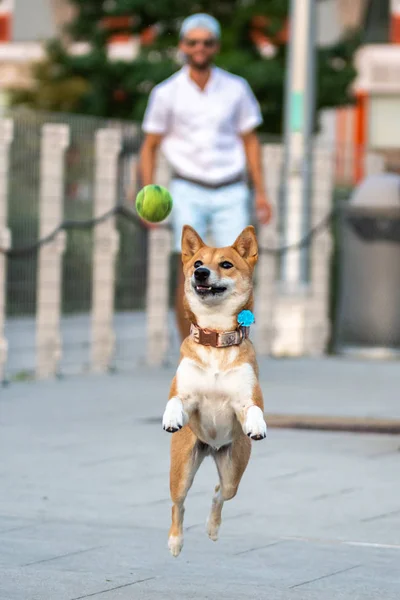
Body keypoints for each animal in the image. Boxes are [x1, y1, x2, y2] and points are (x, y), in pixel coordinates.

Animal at [161, 225, 268, 556]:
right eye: (197, 263)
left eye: (226, 264)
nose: (201, 273)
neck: (215, 338)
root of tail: (211, 447)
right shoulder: (185, 394)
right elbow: (175, 400)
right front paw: (171, 418)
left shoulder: (246, 398)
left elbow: (253, 408)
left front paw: (257, 424)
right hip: (182, 468)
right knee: (178, 504)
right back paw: (175, 541)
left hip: (233, 468)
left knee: (220, 491)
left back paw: (212, 527)